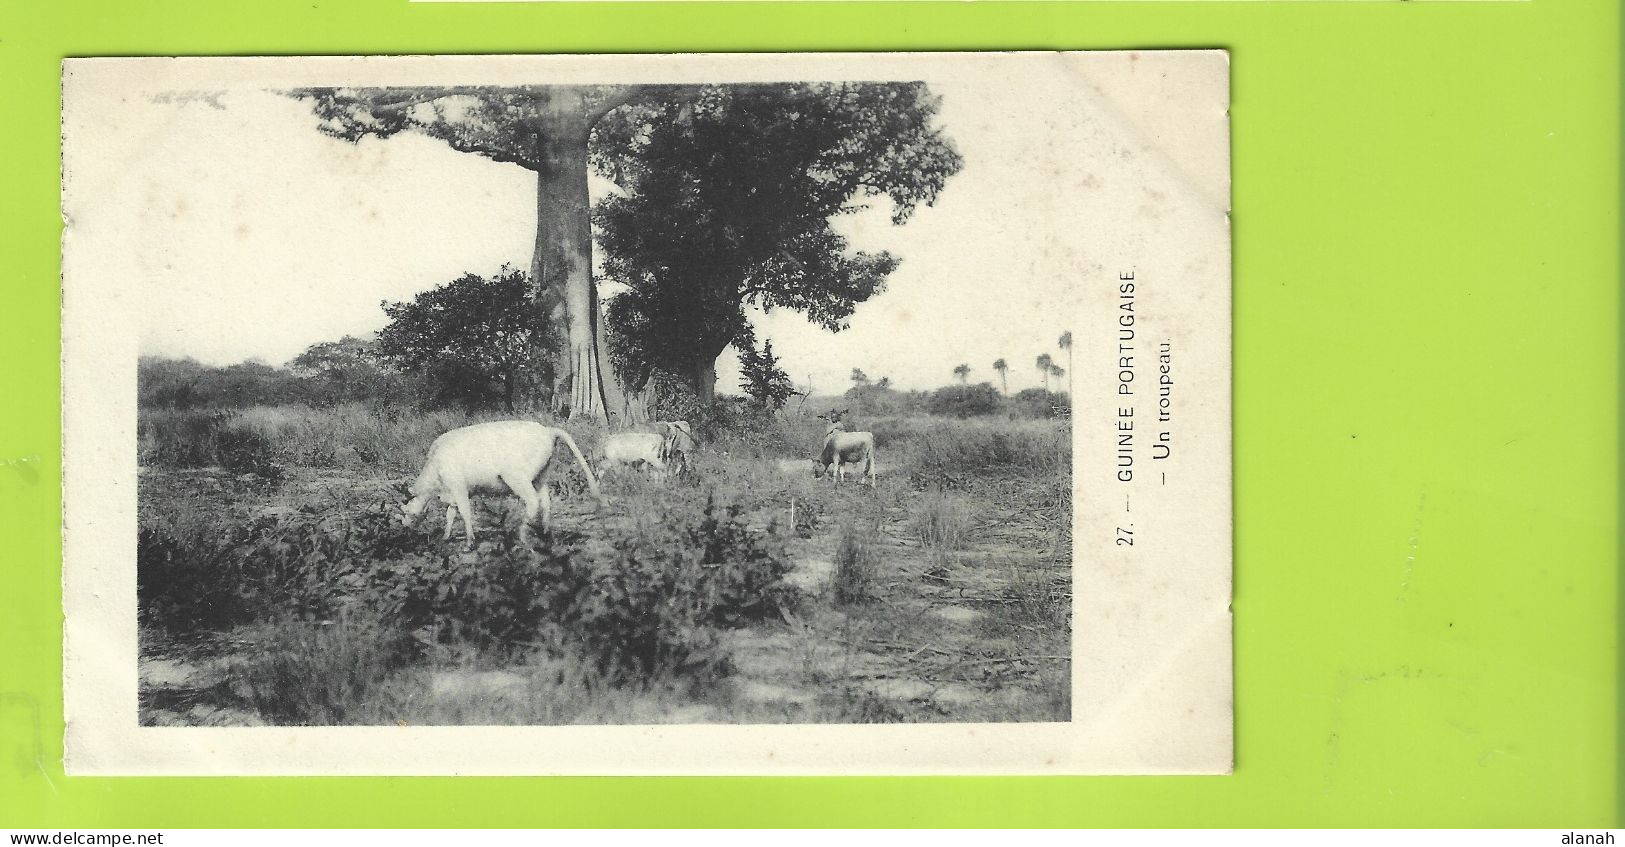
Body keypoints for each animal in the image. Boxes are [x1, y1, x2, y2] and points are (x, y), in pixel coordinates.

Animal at [399, 419, 604, 552]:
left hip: (517, 477)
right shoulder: (457, 492)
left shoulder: (459, 487)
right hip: (541, 476)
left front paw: (469, 543)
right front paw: (446, 537)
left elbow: (464, 513)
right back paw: (546, 534)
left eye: (405, 510)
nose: (404, 526)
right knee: (546, 502)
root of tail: (547, 430)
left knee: (533, 501)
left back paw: (522, 535)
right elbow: (451, 514)